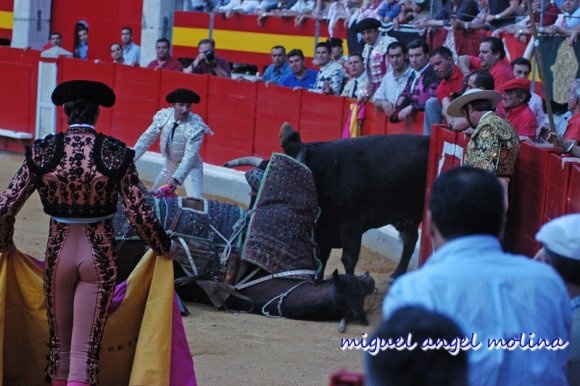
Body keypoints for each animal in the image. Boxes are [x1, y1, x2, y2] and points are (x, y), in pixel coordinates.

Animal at [227, 128, 430, 278]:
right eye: (252, 193)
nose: (246, 230)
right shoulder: (322, 229)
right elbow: (321, 257)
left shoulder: (352, 225)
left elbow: (348, 258)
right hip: (407, 217)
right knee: (410, 240)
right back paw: (397, 274)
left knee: (410, 241)